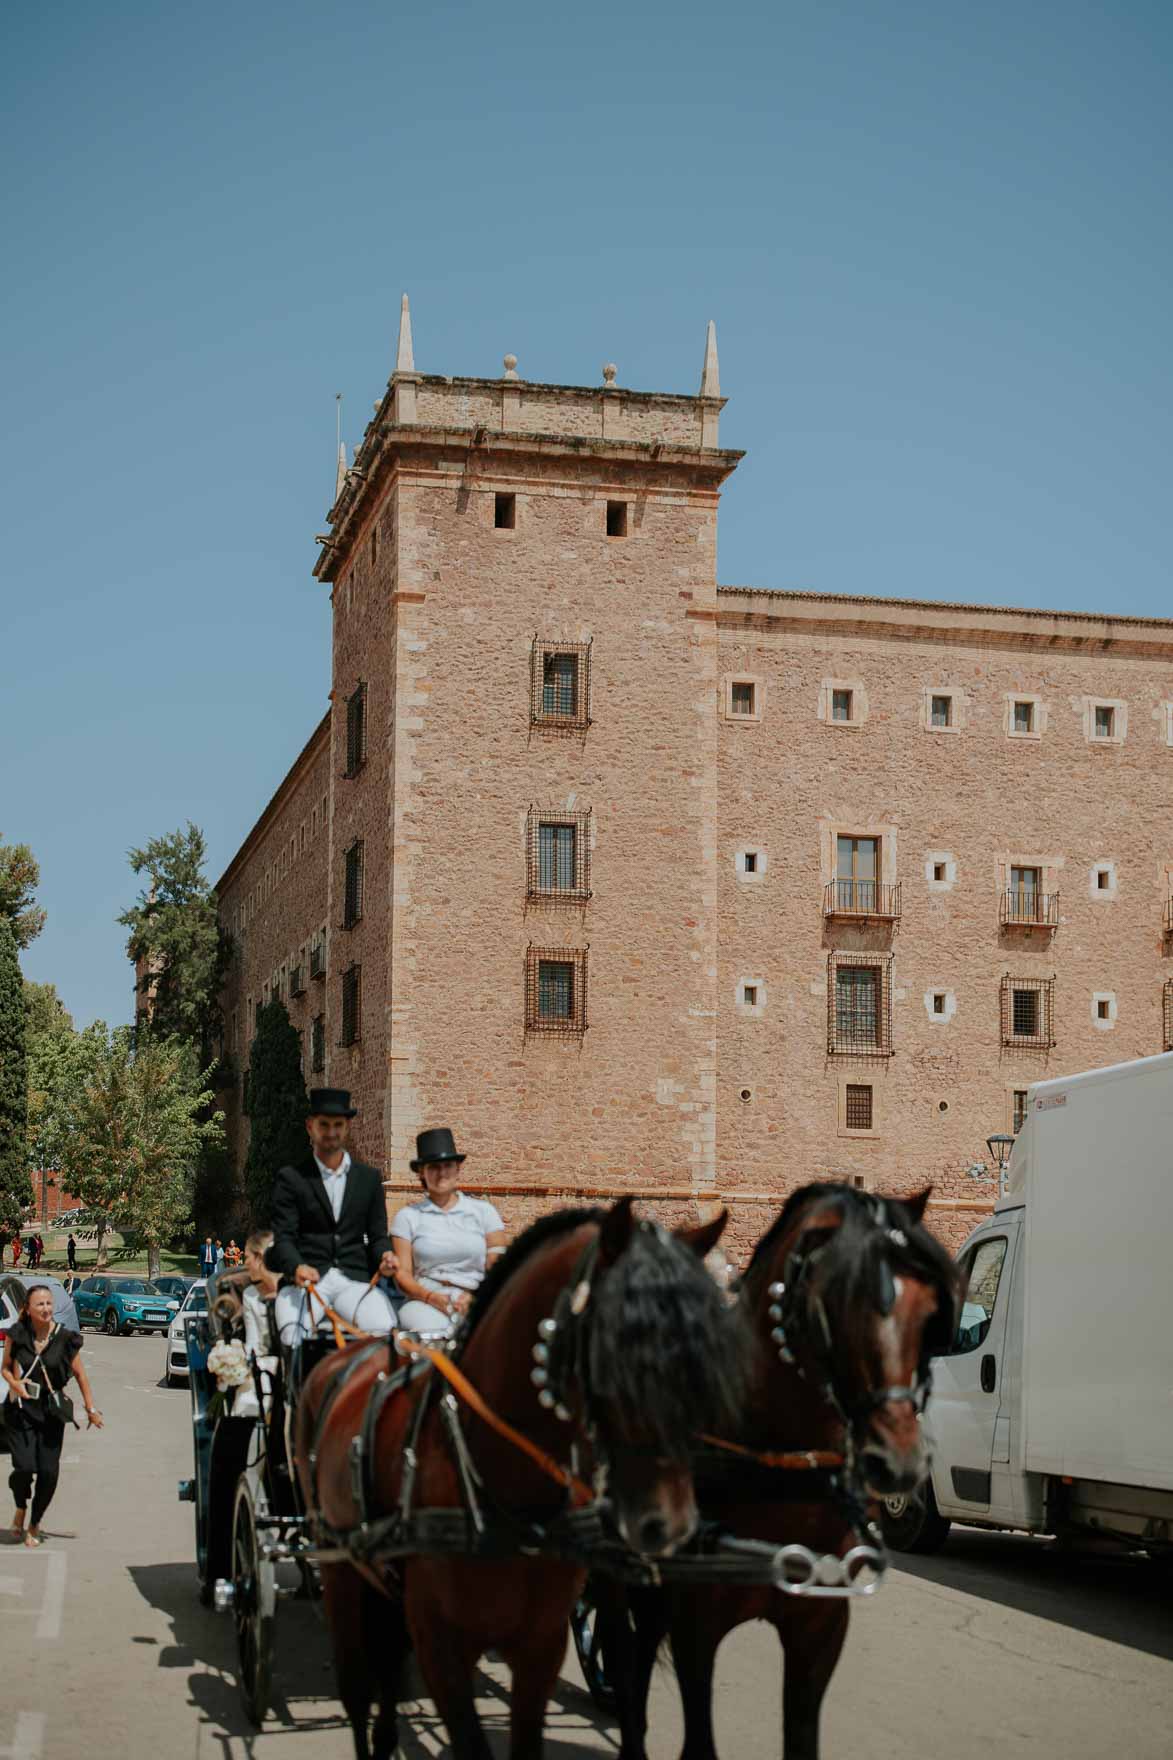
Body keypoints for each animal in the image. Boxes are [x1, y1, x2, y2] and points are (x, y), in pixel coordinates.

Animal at [297, 1189, 743, 1752]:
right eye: (616, 1339)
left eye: (708, 1339)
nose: (670, 1524)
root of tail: (357, 1346)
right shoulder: (442, 1651)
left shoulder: (540, 1648)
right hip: (338, 1567)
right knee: (357, 1689)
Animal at [598, 1182, 958, 1760]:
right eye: (833, 1303)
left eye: (927, 1310)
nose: (899, 1461)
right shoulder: (697, 1620)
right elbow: (698, 1744)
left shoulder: (820, 1624)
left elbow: (802, 1738)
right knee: (622, 1651)